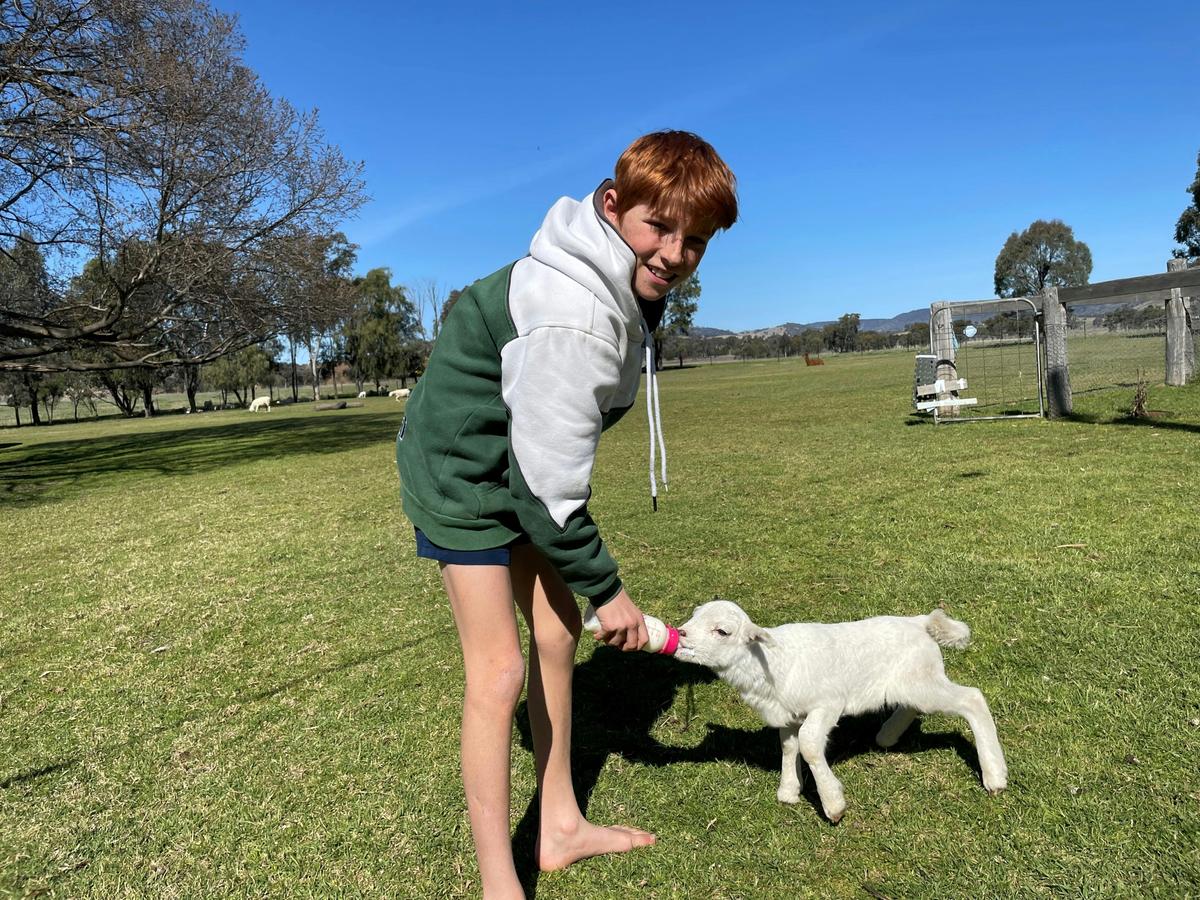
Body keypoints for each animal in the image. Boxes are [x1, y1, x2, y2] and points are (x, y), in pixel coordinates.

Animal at [674, 598, 1007, 823]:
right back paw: (887, 736)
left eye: (722, 631)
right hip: (914, 680)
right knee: (913, 705)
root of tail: (920, 622)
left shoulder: (827, 702)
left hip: (922, 681)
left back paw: (994, 776)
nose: (680, 634)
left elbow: (809, 744)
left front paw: (832, 803)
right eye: (694, 616)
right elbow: (789, 746)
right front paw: (789, 790)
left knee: (972, 698)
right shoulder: (787, 713)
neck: (771, 663)